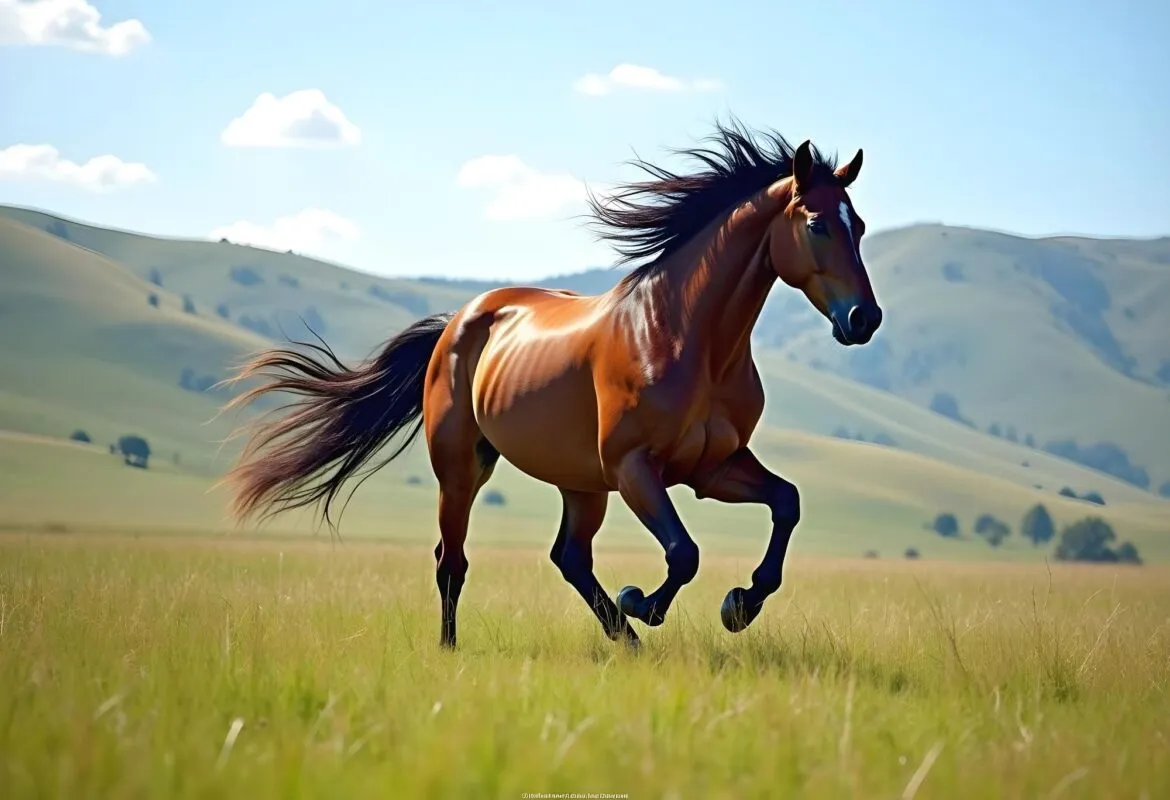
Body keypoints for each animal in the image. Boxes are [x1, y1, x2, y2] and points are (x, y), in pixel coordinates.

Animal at [217, 119, 882, 649]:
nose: (864, 319)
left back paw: (625, 639)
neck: (683, 337)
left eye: (860, 225)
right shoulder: (634, 467)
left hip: (580, 483)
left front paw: (739, 605)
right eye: (818, 224)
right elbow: (684, 554)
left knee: (569, 558)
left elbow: (786, 503)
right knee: (452, 560)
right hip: (464, 467)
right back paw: (457, 648)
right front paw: (646, 601)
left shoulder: (710, 468)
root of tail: (459, 321)